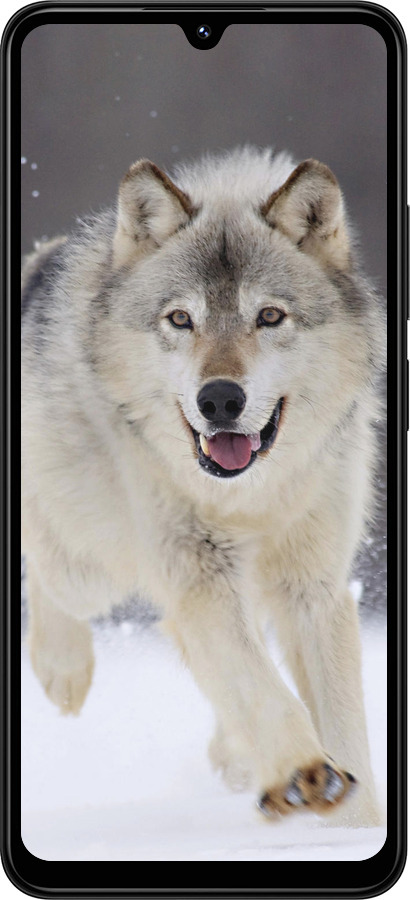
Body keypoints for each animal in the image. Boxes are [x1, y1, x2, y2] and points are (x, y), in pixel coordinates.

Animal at [22, 147, 384, 826]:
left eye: (269, 316)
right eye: (180, 320)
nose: (219, 399)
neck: (250, 497)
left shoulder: (313, 586)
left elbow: (343, 725)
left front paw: (355, 824)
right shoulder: (198, 574)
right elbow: (261, 686)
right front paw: (303, 773)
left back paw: (237, 757)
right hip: (92, 568)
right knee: (50, 576)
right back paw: (64, 670)